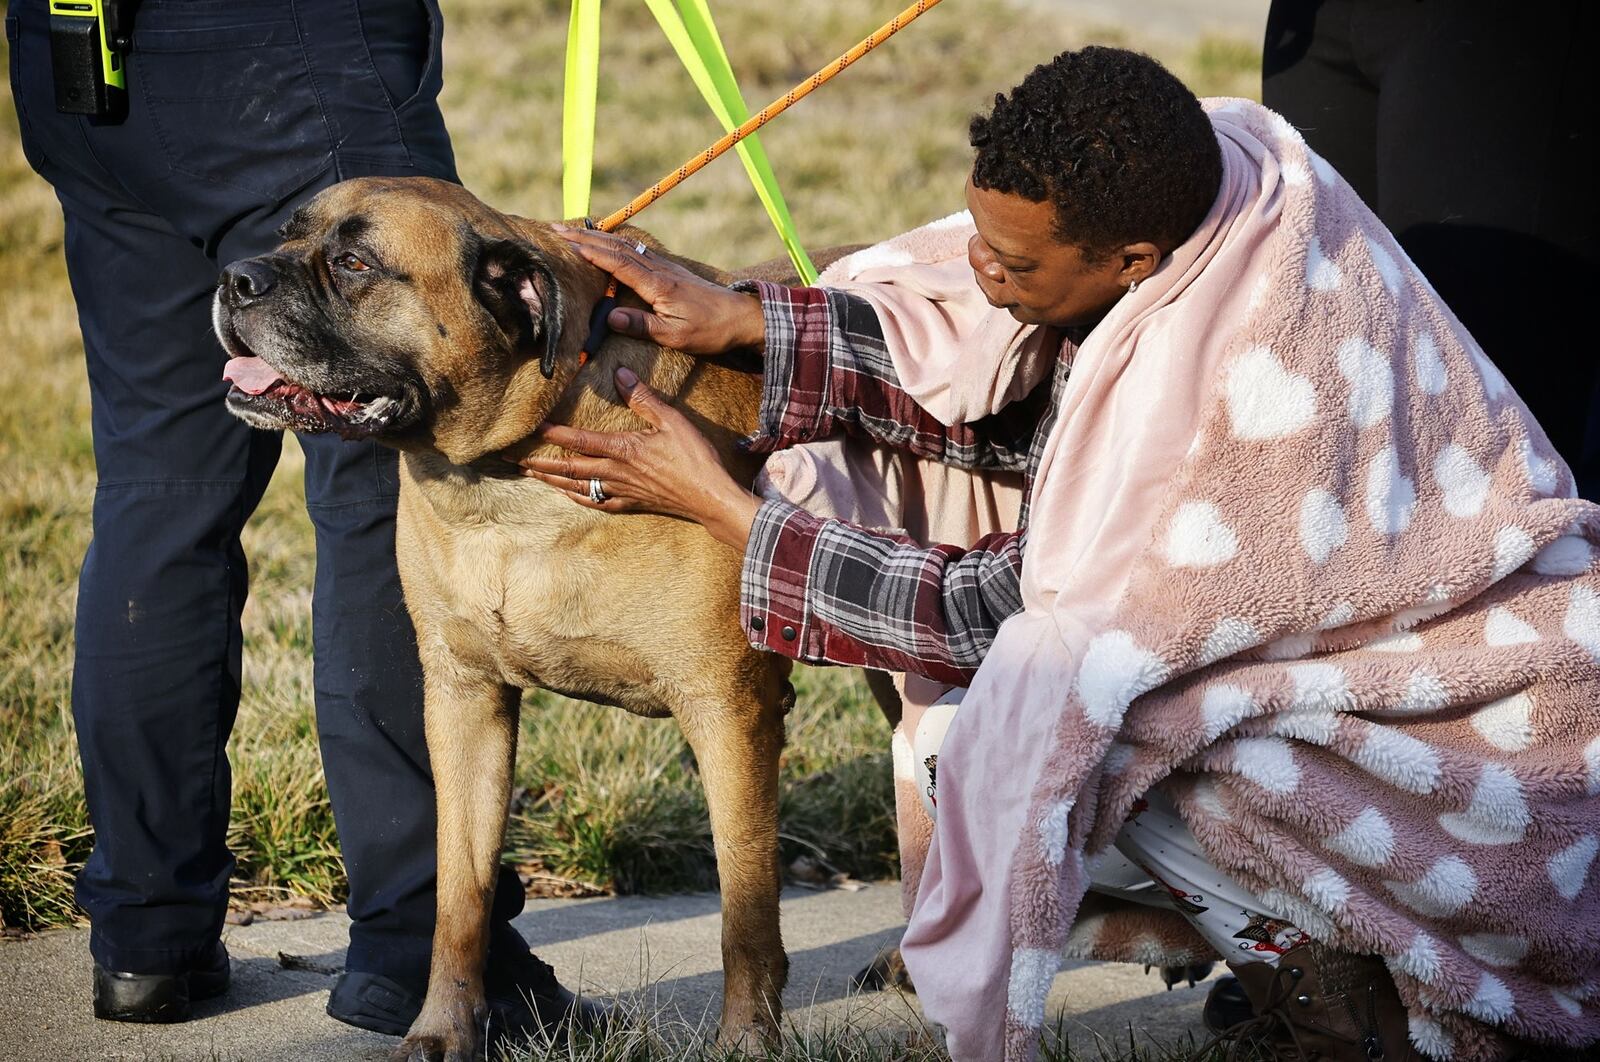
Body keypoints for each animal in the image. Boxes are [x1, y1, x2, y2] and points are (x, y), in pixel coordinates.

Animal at [217, 178, 844, 1055]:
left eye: (354, 264)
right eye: (285, 233)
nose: (234, 276)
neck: (504, 480)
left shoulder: (732, 709)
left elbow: (746, 905)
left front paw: (748, 1040)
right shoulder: (463, 700)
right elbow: (460, 892)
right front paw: (445, 1029)